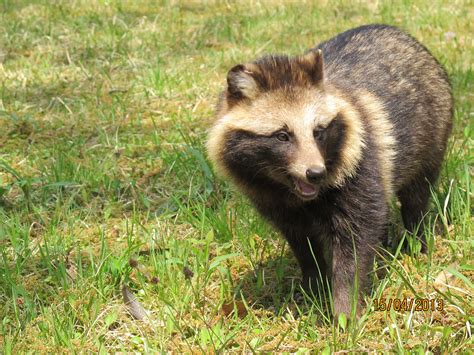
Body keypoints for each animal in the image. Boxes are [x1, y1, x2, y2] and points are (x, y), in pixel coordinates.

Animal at [206, 25, 454, 320]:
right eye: (282, 136)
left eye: (319, 132)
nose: (315, 173)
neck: (294, 192)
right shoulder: (275, 203)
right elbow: (302, 244)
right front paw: (313, 286)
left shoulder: (362, 164)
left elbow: (356, 242)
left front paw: (346, 309)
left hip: (434, 132)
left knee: (416, 196)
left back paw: (417, 240)